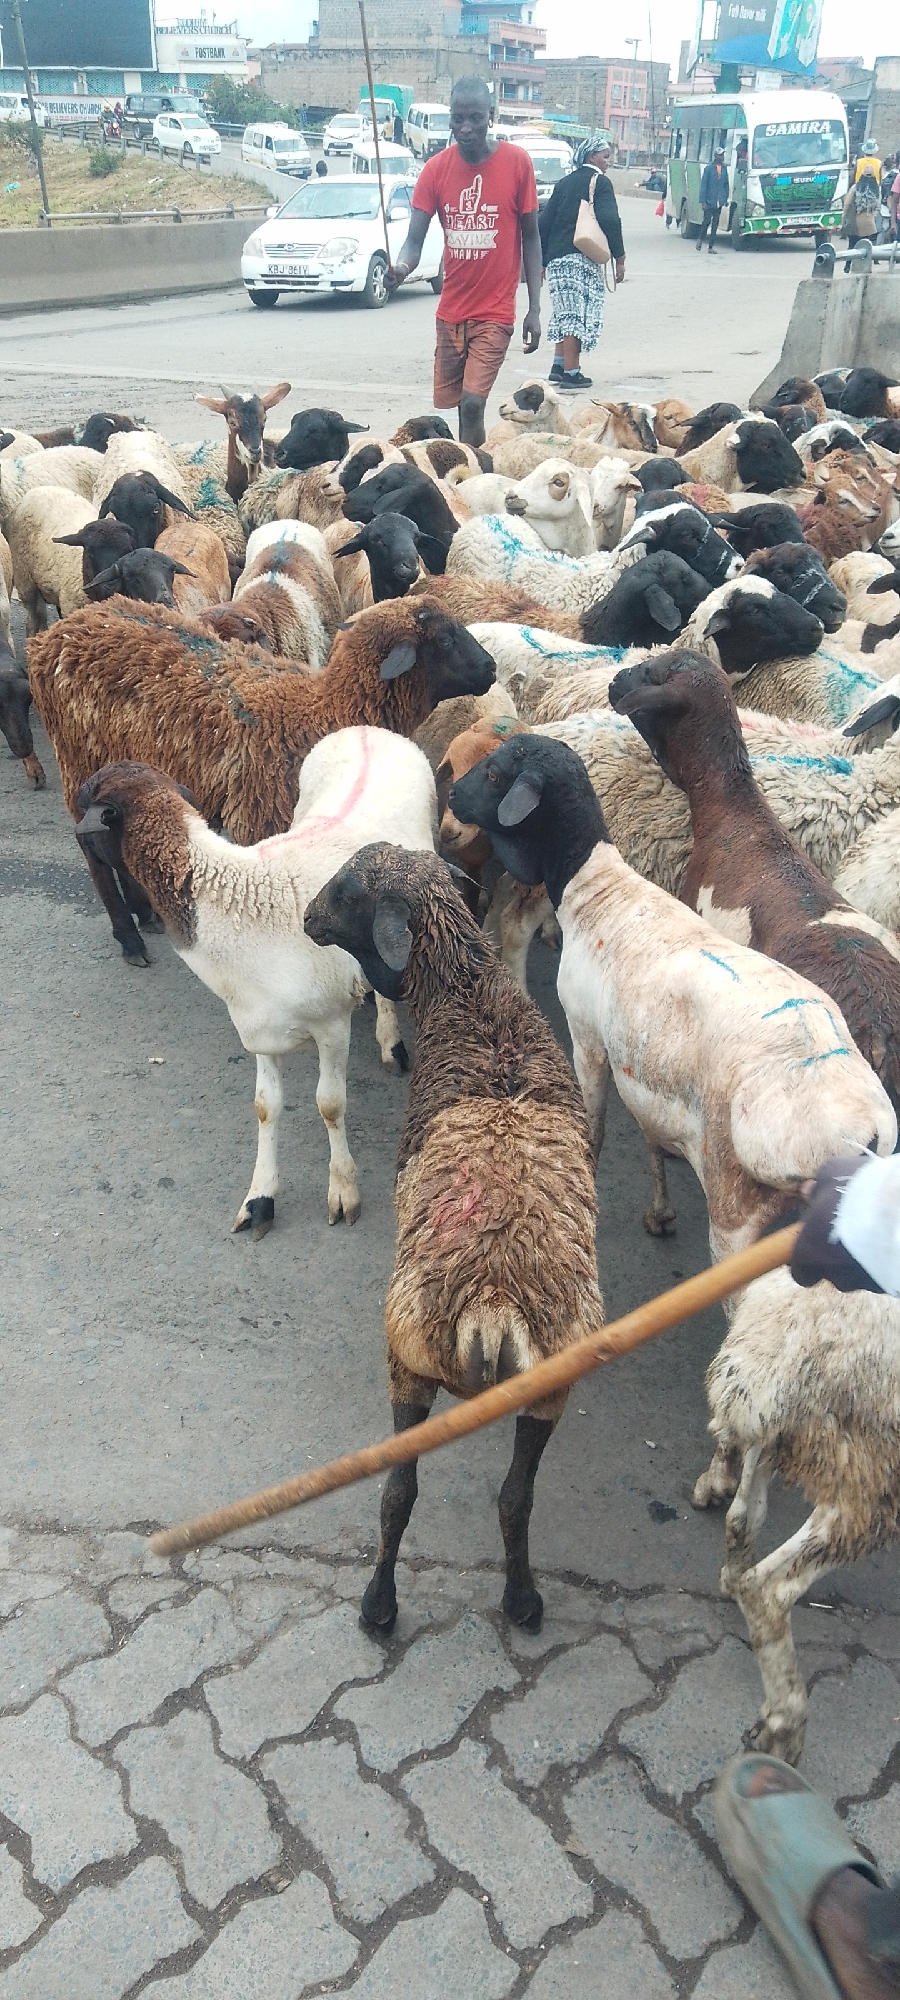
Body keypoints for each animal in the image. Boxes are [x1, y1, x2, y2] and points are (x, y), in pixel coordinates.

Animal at [30, 597, 495, 960]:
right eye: (445, 638)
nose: (491, 669)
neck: (320, 708)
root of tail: (55, 633)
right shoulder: (265, 816)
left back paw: (145, 914)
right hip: (78, 762)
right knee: (91, 849)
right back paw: (129, 939)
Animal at [76, 734, 436, 1234]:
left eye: (88, 799)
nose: (80, 844)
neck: (241, 903)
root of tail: (370, 732)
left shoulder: (331, 1025)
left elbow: (330, 1104)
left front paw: (343, 1190)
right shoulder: (258, 1024)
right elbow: (266, 1106)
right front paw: (260, 1198)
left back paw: (392, 1044)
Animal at [304, 841, 605, 1632]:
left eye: (348, 891)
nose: (307, 917)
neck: (473, 999)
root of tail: (493, 1303)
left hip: (406, 1355)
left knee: (397, 1492)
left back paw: (378, 1606)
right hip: (551, 1383)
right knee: (515, 1496)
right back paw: (522, 1600)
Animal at [449, 733, 896, 1262]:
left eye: (495, 773)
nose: (452, 795)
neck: (596, 889)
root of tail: (861, 1129)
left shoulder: (588, 1038)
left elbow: (595, 1125)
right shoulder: (644, 1072)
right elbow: (650, 1134)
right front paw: (659, 1213)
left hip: (735, 1209)